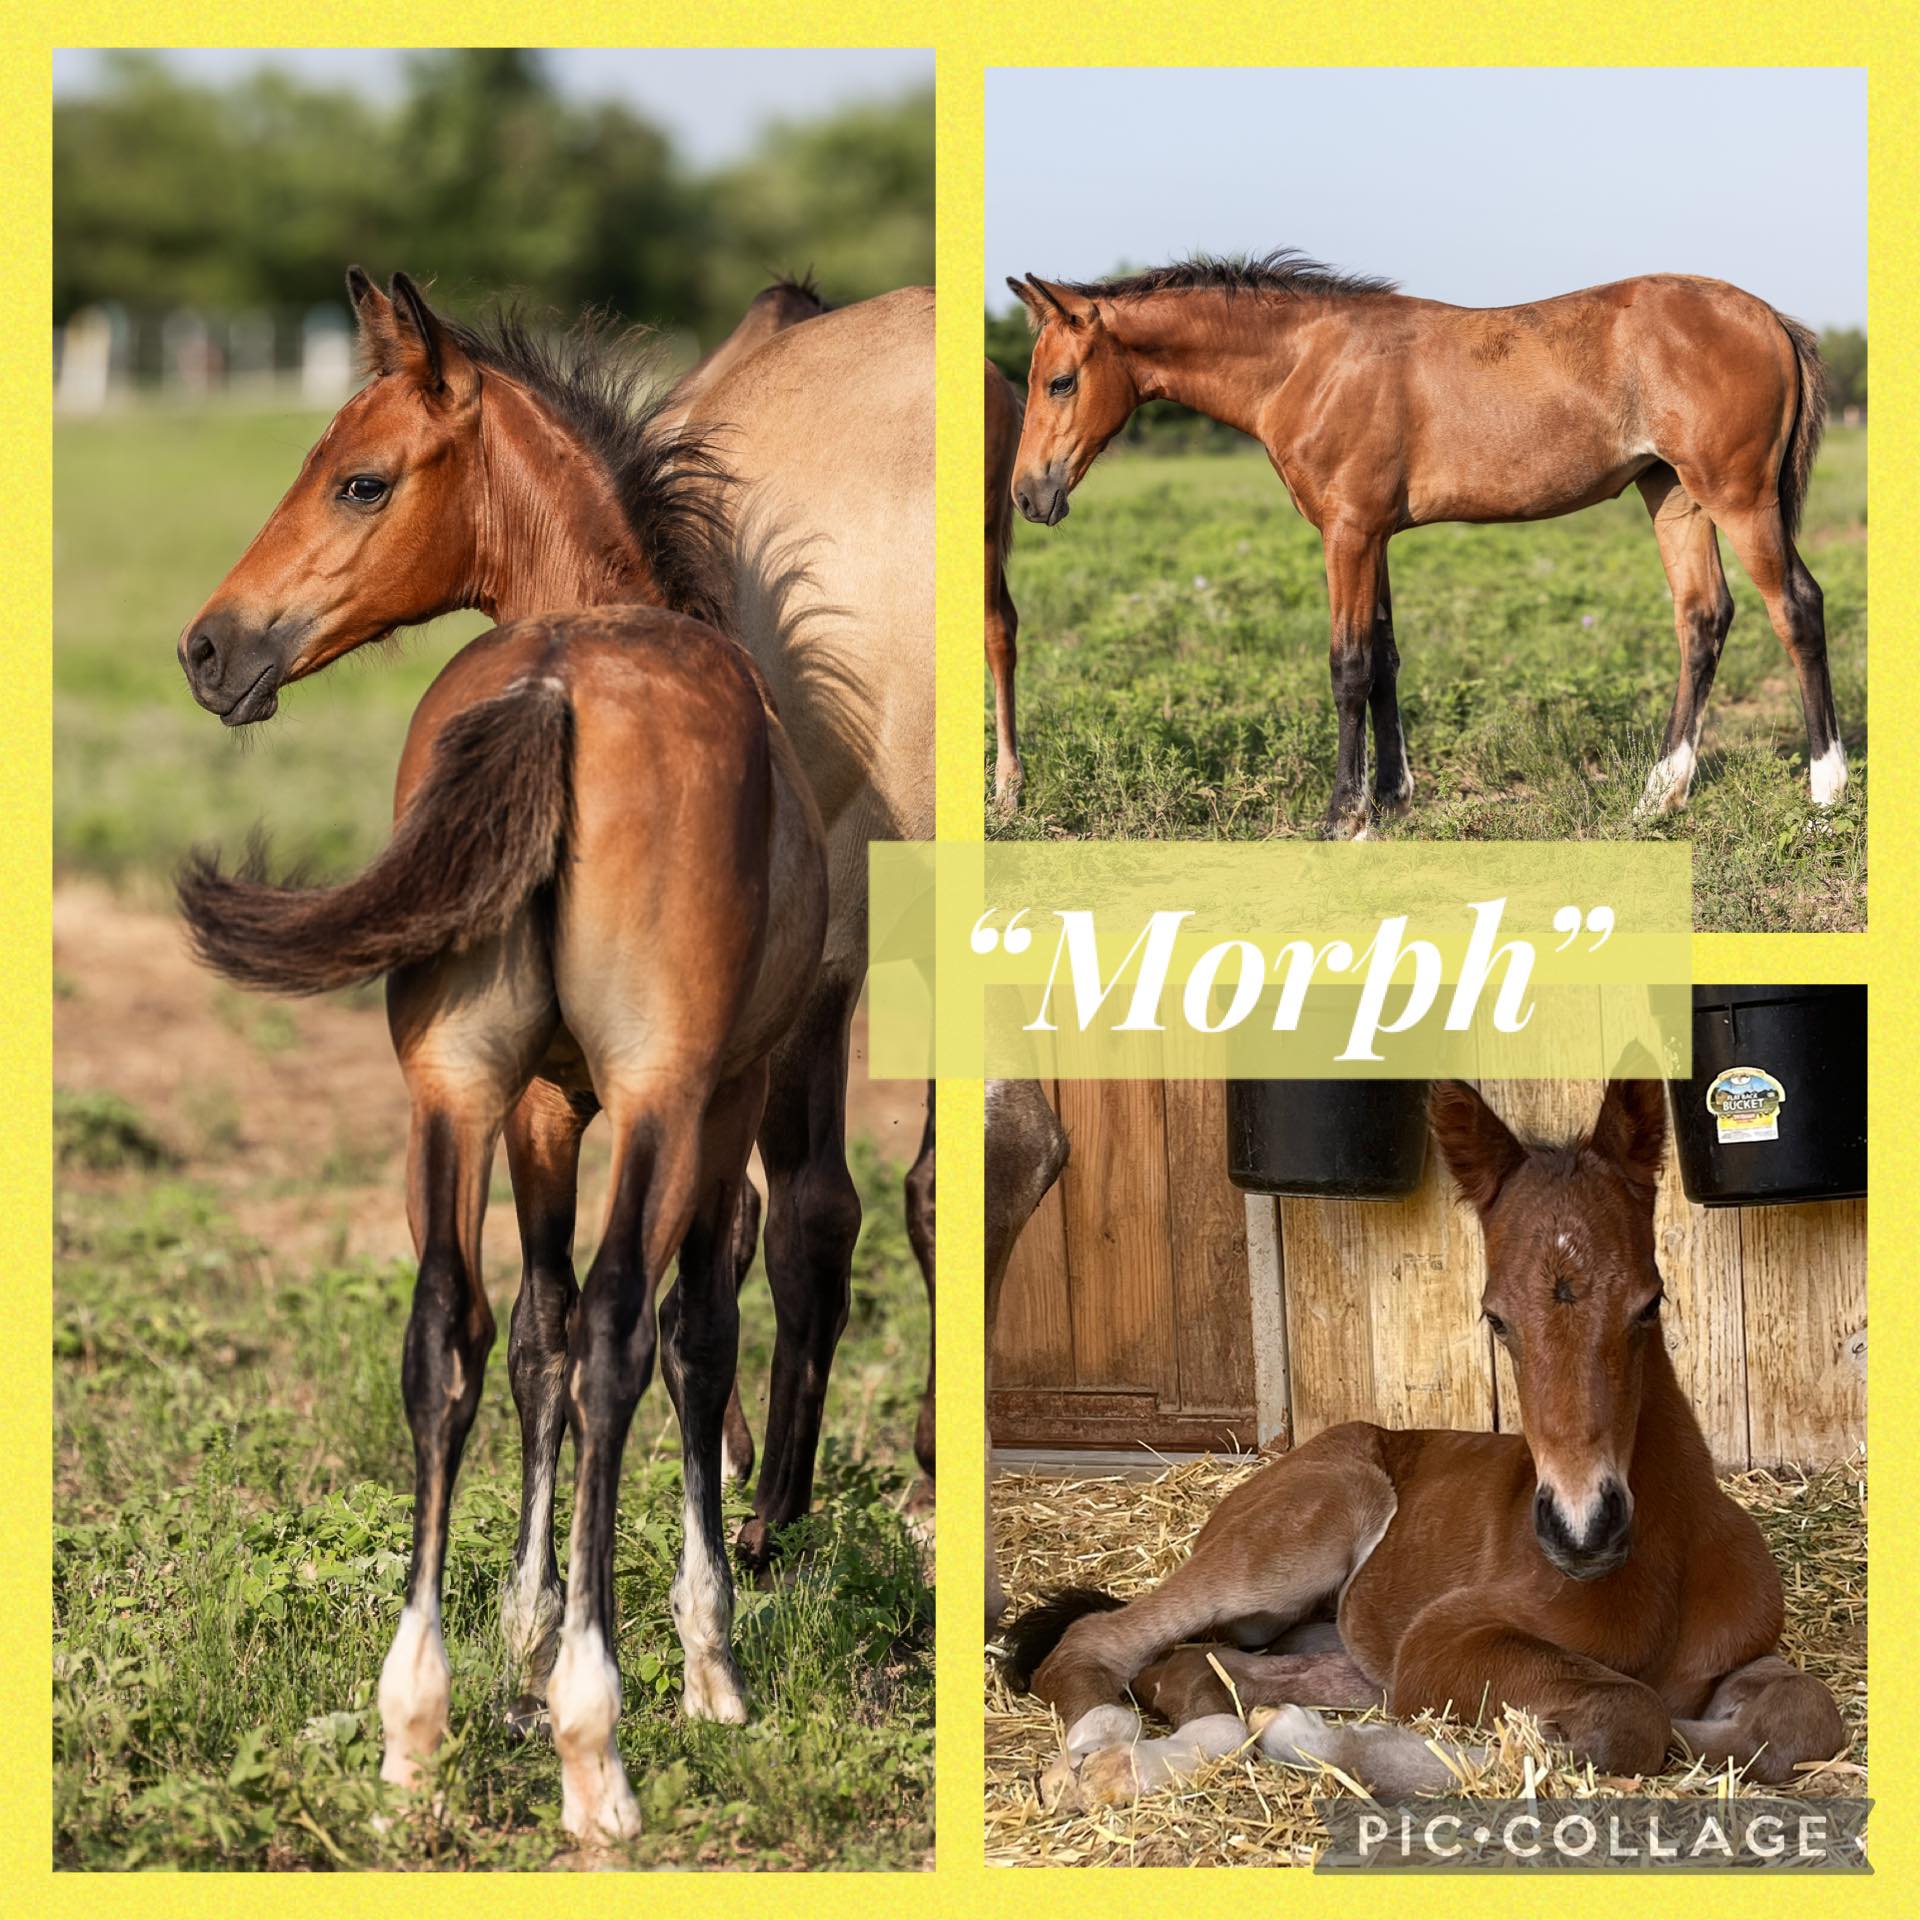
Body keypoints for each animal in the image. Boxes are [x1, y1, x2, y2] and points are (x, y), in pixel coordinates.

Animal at [178, 601, 828, 1843]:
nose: (214, 659)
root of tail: (553, 683)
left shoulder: (539, 1106)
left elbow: (537, 1336)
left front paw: (525, 1642)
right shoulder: (723, 1094)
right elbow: (694, 1337)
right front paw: (708, 1665)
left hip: (453, 1088)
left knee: (445, 1332)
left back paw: (413, 1736)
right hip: (659, 1093)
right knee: (621, 1334)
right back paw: (594, 1748)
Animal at [1000, 1079, 1847, 1808]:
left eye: (1650, 1304)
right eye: (1495, 1319)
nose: (1583, 1531)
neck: (1658, 1572)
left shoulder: (1739, 1656)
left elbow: (1803, 1717)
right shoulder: (1441, 1643)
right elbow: (1626, 1715)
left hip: (1317, 1637)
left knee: (1202, 1666)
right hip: (1297, 1540)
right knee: (1100, 1641)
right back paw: (1098, 1752)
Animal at [1007, 253, 1842, 839]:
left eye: (1059, 381)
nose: (1027, 496)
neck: (1306, 363)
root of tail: (1770, 318)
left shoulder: (1347, 532)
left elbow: (1347, 666)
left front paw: (1342, 817)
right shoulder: (1373, 534)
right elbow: (1383, 658)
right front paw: (1391, 798)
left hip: (1739, 497)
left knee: (1796, 608)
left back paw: (1826, 793)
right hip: (1673, 495)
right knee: (1702, 618)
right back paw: (1657, 800)